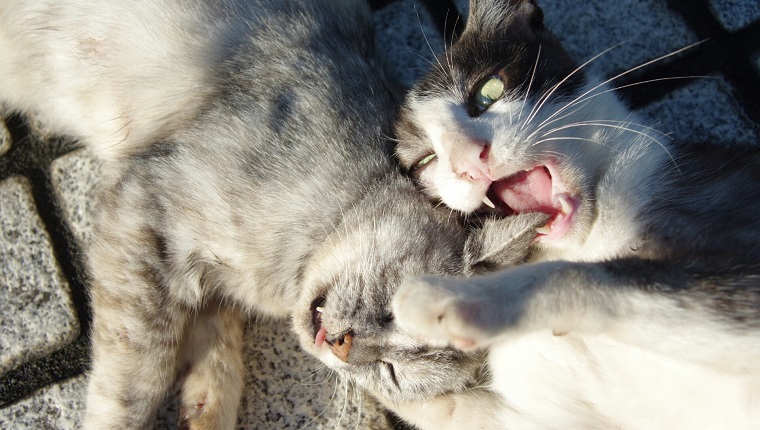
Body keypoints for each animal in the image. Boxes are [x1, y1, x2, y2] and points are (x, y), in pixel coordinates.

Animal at [0, 0, 548, 426]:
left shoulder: (194, 268)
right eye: (396, 306)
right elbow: (138, 376)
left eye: (389, 373)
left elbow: (215, 350)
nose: (343, 344)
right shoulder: (145, 208)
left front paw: (204, 408)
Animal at [392, 0, 760, 428]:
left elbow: (588, 277)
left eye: (488, 91)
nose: (469, 161)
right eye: (425, 161)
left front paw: (448, 298)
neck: (586, 239)